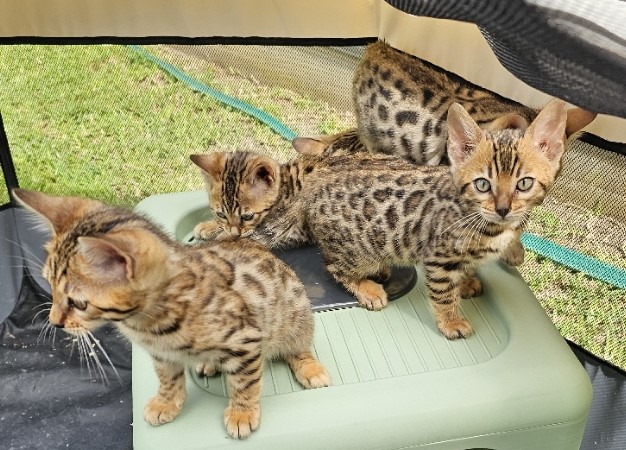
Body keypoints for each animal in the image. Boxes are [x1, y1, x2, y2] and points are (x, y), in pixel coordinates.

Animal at [12, 189, 330, 440]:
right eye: (49, 285)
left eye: (78, 303)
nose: (54, 322)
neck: (144, 324)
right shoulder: (162, 354)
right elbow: (168, 379)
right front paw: (166, 403)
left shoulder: (247, 339)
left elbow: (245, 382)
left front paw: (242, 413)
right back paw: (208, 364)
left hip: (295, 314)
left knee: (298, 346)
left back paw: (309, 368)